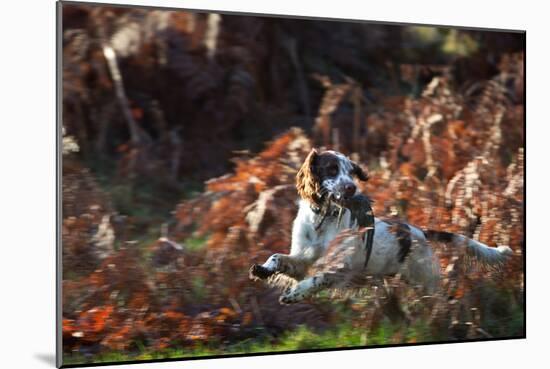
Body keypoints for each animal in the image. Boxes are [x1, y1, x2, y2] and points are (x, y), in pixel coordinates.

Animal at [250, 148, 512, 304]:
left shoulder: (339, 269)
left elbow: (316, 279)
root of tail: (420, 231)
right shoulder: (303, 260)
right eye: (332, 169)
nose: (351, 188)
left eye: (351, 172)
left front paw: (295, 294)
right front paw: (262, 269)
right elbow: (278, 258)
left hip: (426, 281)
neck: (322, 220)